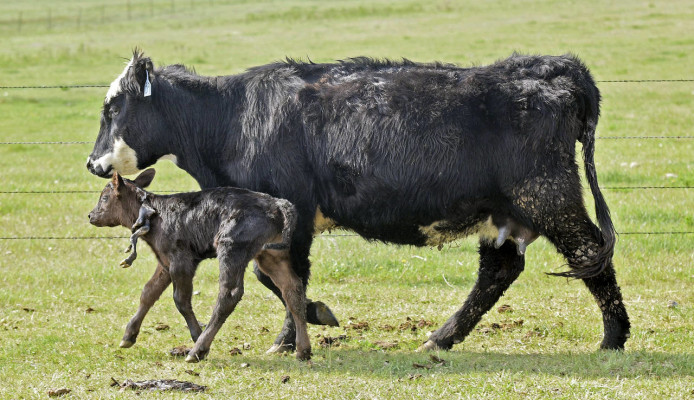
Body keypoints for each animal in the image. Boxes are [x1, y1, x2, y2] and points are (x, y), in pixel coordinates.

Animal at [88, 169, 313, 361]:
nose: (91, 215)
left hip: (232, 248)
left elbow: (180, 300)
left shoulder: (181, 261)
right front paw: (128, 335)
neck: (154, 214)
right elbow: (149, 293)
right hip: (270, 254)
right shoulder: (165, 262)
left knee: (229, 294)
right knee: (293, 289)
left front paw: (196, 334)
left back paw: (198, 349)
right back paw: (303, 350)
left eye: (105, 197)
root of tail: (277, 203)